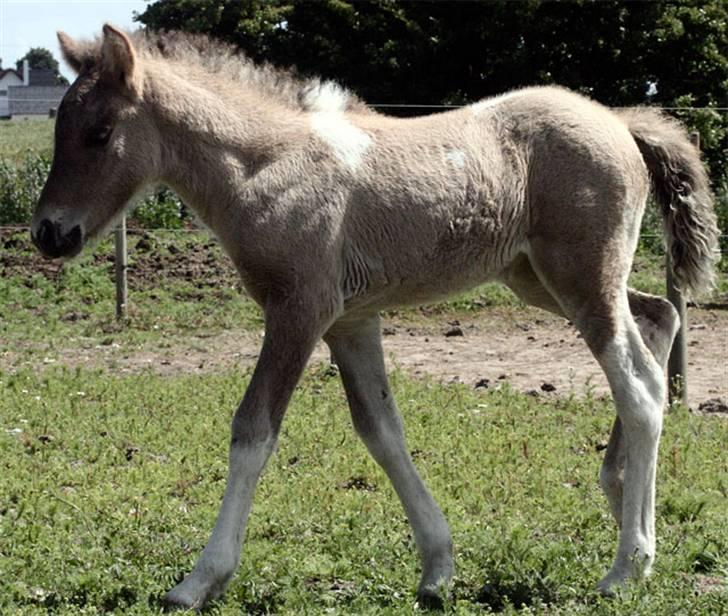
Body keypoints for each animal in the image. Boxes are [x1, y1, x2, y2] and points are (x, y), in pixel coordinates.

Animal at [31, 26, 720, 608]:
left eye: (98, 133)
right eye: (59, 127)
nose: (48, 234)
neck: (269, 167)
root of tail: (619, 121)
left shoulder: (299, 310)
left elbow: (253, 430)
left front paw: (199, 581)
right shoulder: (350, 320)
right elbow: (382, 431)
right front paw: (437, 569)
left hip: (581, 278)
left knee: (639, 387)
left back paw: (627, 564)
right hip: (539, 279)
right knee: (659, 319)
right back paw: (622, 497)